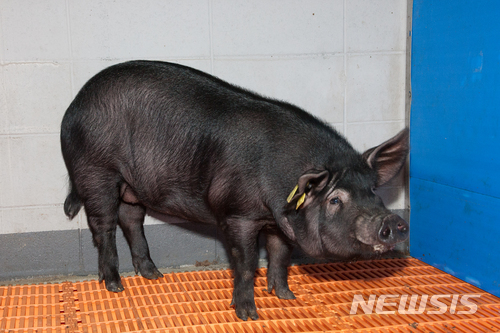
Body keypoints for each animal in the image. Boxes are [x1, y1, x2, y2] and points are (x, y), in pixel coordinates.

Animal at [60, 61, 408, 320]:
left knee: (131, 218)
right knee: (103, 225)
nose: (393, 221)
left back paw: (153, 274)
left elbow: (280, 256)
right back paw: (115, 285)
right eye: (336, 200)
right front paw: (248, 315)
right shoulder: (237, 214)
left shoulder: (279, 222)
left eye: (373, 190)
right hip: (96, 171)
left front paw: (287, 297)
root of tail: (74, 105)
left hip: (133, 186)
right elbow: (246, 262)